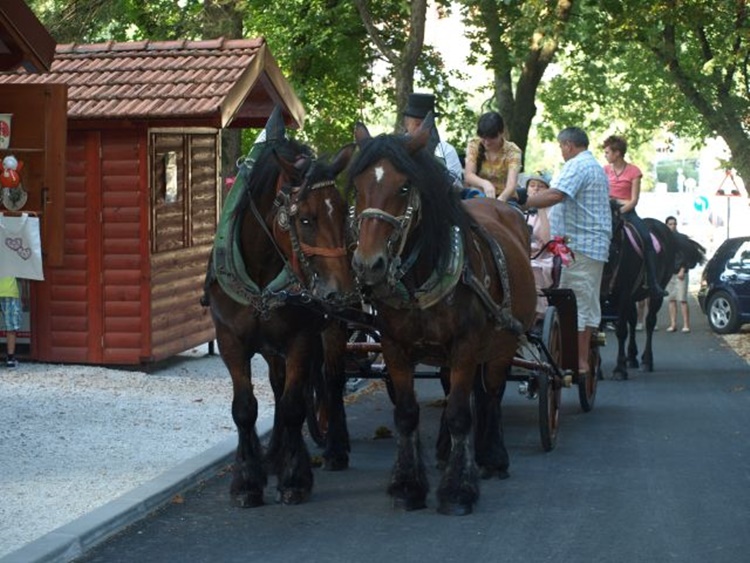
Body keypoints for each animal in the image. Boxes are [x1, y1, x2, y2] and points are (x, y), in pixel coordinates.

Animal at [204, 109, 356, 506]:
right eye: (305, 219)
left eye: (342, 214)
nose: (339, 293)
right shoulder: (230, 339)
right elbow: (245, 408)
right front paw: (247, 480)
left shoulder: (301, 338)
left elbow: (293, 406)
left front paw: (295, 477)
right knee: (277, 382)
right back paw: (273, 455)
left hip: (333, 327)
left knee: (331, 380)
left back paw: (334, 448)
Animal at [350, 114, 536, 516]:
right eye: (356, 188)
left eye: (404, 188)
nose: (369, 265)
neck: (421, 279)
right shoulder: (395, 347)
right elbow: (407, 413)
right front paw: (407, 486)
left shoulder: (466, 345)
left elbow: (460, 414)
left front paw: (457, 491)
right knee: (457, 390)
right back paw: (446, 451)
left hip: (502, 342)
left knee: (491, 394)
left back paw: (492, 456)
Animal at [604, 202, 704, 378]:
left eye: (616, 249)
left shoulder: (623, 293)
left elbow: (621, 328)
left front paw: (619, 369)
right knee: (633, 320)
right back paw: (632, 357)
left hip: (656, 291)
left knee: (650, 322)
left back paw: (646, 361)